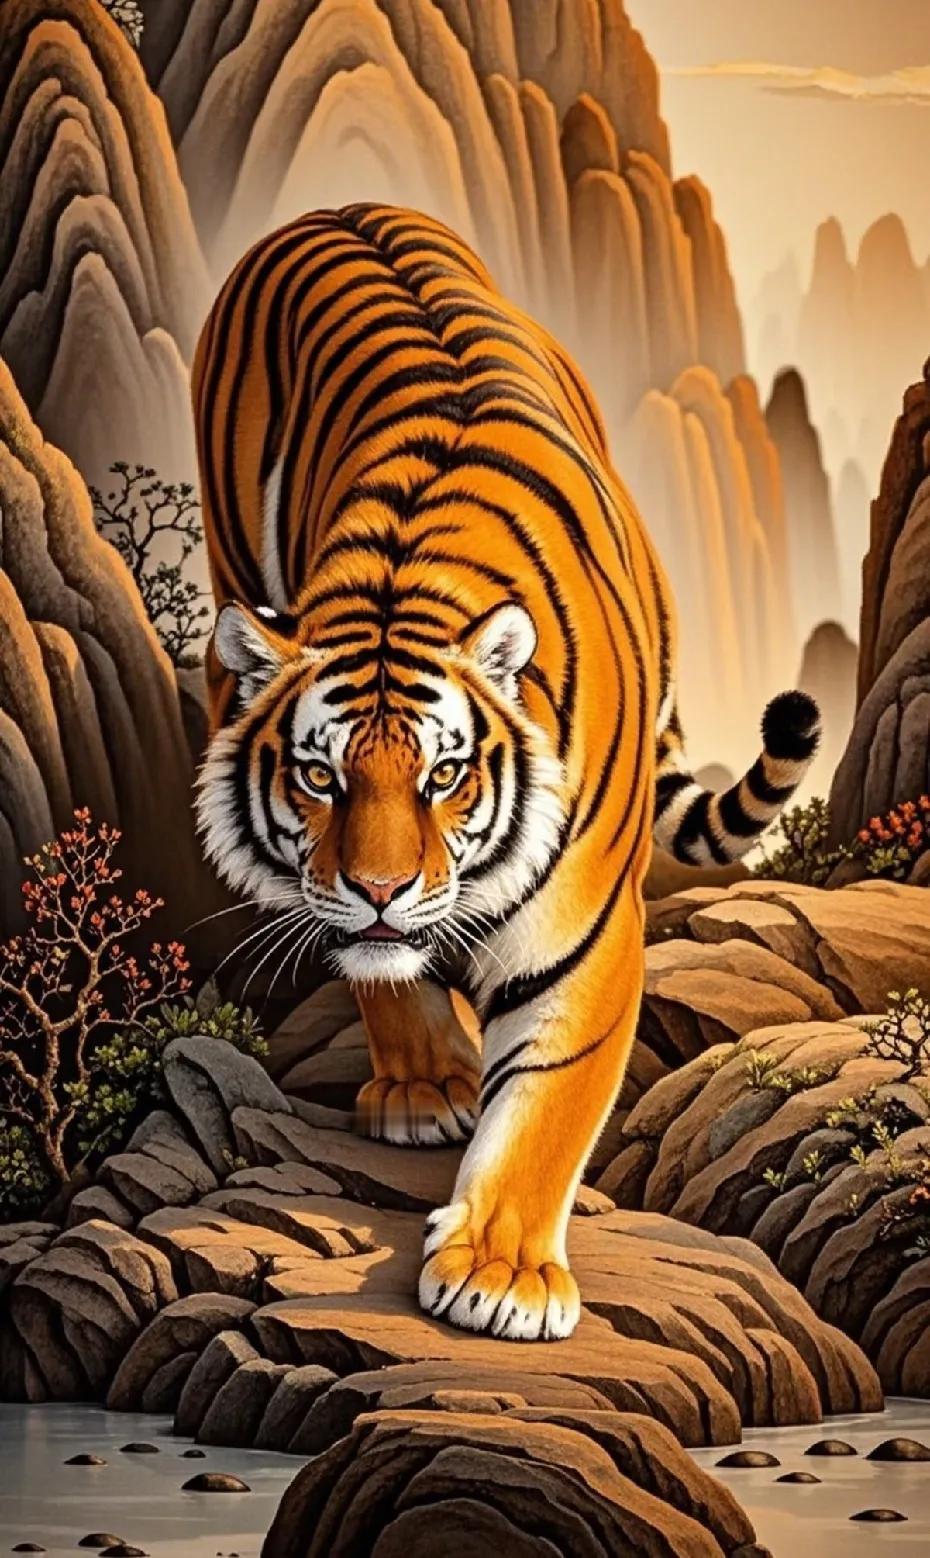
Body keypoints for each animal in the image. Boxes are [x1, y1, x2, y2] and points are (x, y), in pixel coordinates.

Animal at [192, 203, 820, 1342]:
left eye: (444, 777)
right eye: (320, 778)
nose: (381, 888)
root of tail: (335, 207)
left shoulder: (584, 931)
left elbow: (548, 1096)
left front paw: (499, 1275)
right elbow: (384, 972)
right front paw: (428, 1087)